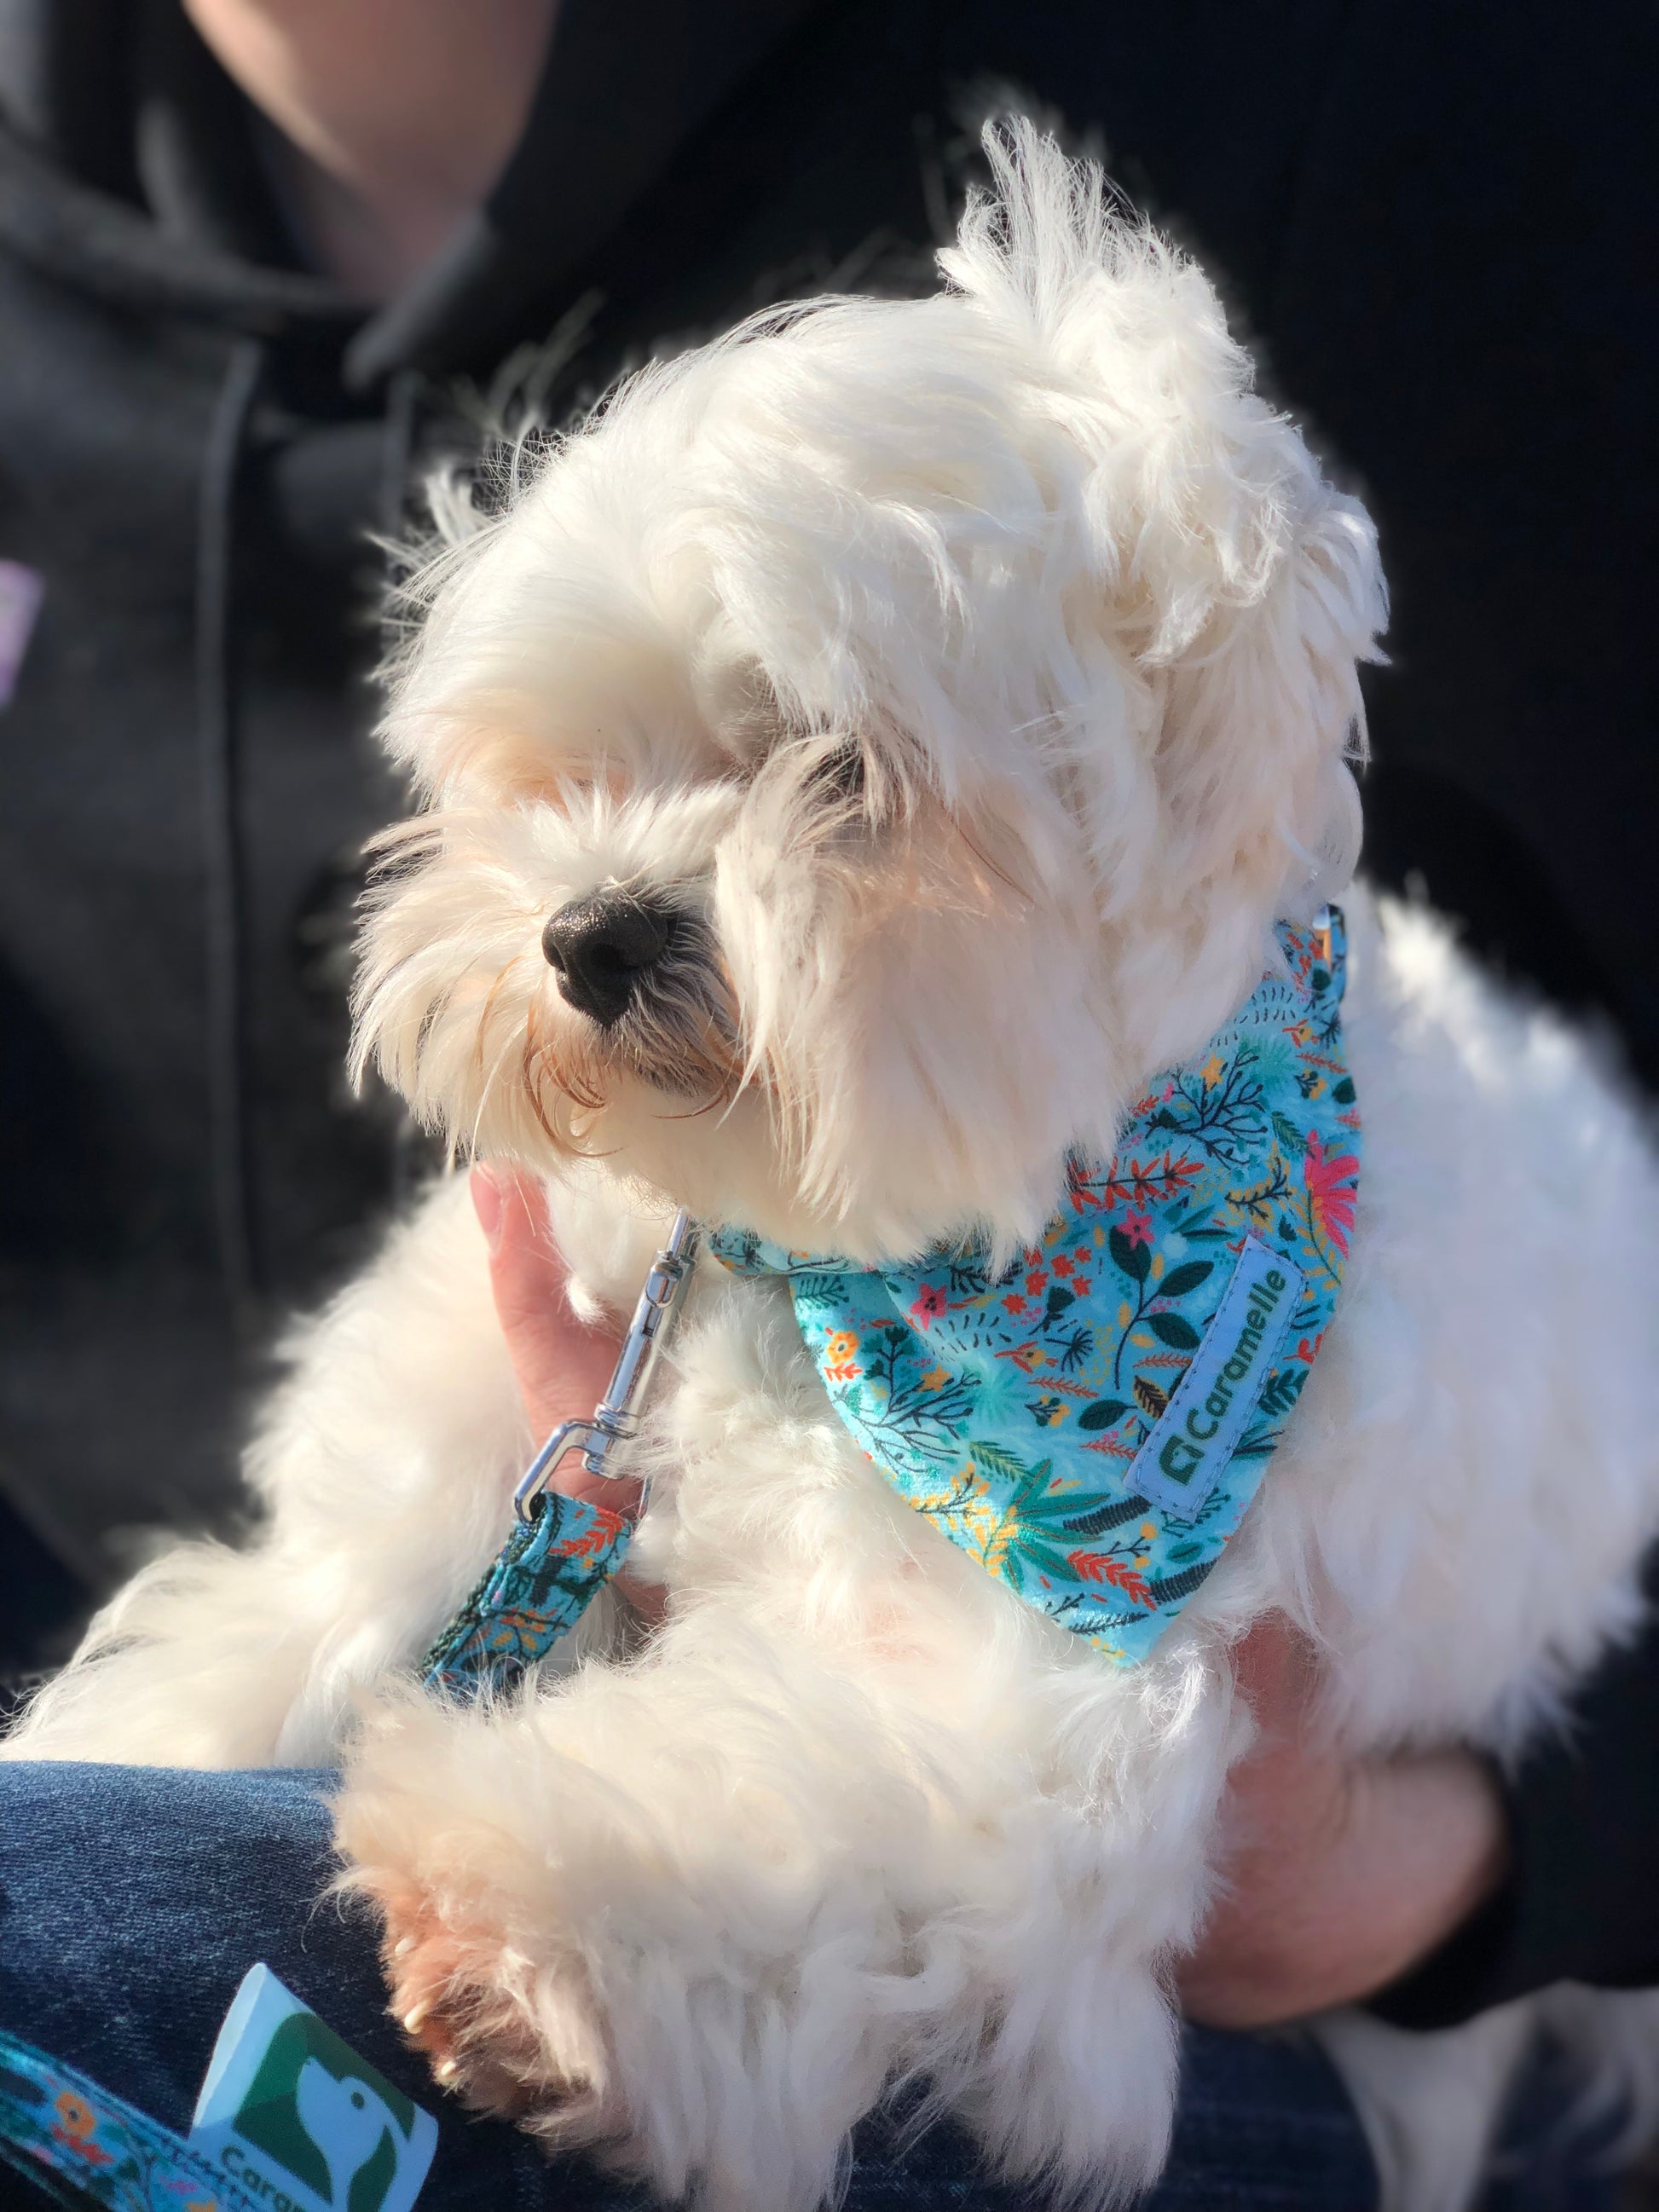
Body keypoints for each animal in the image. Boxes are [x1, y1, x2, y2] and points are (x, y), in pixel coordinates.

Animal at [13, 129, 1659, 2212]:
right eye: (571, 762)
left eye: (838, 775)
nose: (593, 935)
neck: (840, 1274)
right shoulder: (527, 1395)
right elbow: (334, 1571)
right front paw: (158, 1709)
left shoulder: (1049, 1686)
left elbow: (803, 1799)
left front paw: (516, 1899)